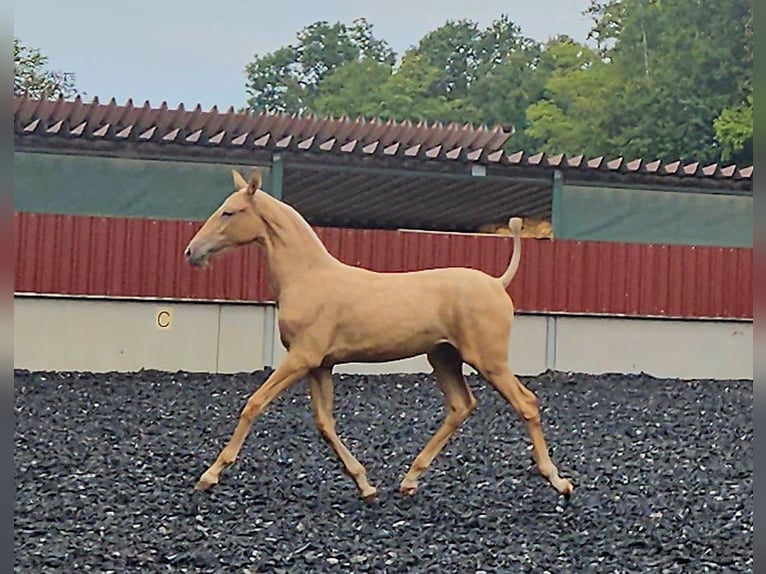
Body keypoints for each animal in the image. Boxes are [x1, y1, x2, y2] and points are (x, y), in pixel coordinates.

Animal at [183, 169, 572, 502]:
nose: (191, 252)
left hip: (488, 360)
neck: (308, 276)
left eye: (229, 212)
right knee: (461, 406)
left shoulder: (301, 358)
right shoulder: (320, 365)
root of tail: (497, 282)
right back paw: (410, 479)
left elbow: (254, 404)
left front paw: (209, 475)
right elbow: (324, 423)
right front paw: (365, 485)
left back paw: (557, 480)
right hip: (443, 357)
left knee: (526, 403)